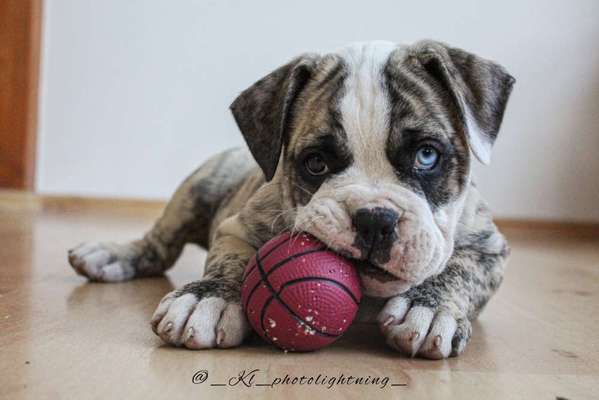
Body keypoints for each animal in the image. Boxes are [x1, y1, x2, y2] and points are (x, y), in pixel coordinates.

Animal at [67, 40, 516, 360]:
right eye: (315, 163)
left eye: (427, 155)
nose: (374, 219)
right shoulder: (237, 228)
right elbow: (231, 261)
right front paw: (208, 297)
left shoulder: (488, 250)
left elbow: (458, 271)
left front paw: (430, 308)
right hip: (196, 188)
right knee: (159, 245)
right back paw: (110, 254)